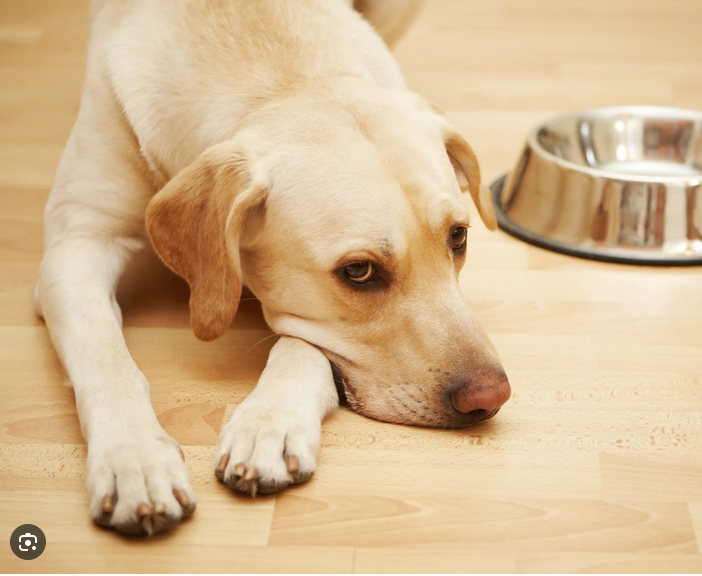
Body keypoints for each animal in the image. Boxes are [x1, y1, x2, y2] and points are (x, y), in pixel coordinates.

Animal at [35, 0, 512, 536]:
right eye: (359, 272)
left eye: (459, 237)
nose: (491, 396)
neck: (283, 76)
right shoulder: (76, 244)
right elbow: (105, 356)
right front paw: (134, 458)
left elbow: (301, 346)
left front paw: (270, 424)